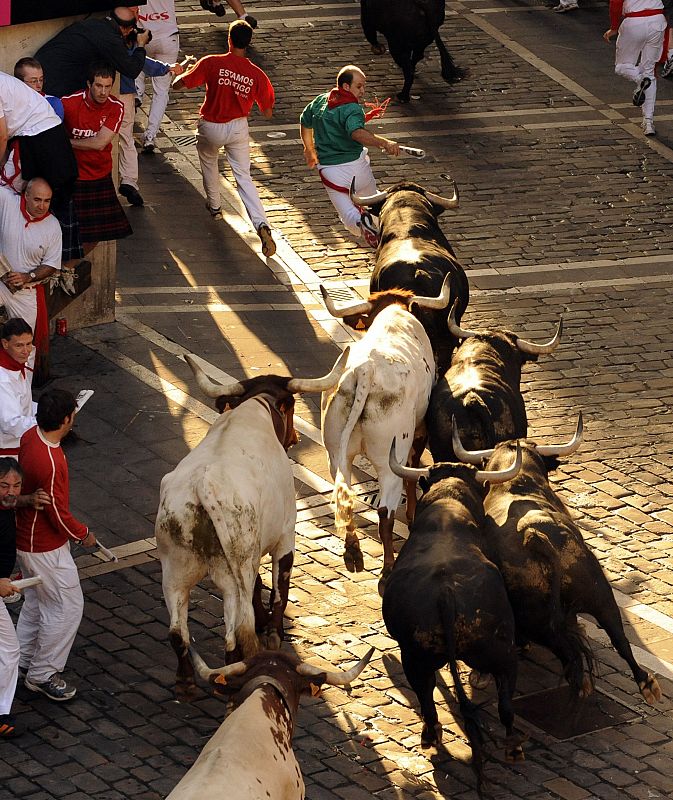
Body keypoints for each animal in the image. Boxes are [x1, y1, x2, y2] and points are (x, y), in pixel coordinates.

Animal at [156, 354, 350, 696]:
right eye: (291, 407)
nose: (295, 438)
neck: (256, 406)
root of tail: (201, 486)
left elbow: (262, 585)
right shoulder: (285, 536)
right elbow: (279, 588)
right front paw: (273, 632)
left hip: (176, 570)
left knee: (178, 632)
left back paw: (185, 682)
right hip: (231, 575)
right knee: (233, 634)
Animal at [320, 278, 452, 592]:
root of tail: (365, 371)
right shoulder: (419, 431)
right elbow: (414, 469)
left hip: (335, 455)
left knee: (346, 496)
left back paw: (353, 554)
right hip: (390, 457)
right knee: (385, 513)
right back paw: (387, 570)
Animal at [384, 444, 524, 792]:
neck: (448, 505)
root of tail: (446, 594)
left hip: (415, 656)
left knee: (425, 693)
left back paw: (431, 735)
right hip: (500, 652)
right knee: (505, 704)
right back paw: (513, 747)